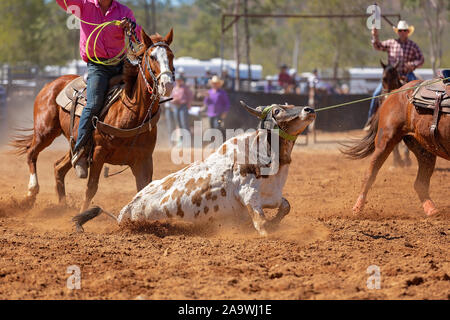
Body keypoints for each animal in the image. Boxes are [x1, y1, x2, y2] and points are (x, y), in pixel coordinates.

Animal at [10, 28, 176, 211]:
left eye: (171, 55)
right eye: (152, 57)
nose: (167, 84)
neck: (132, 113)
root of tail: (50, 85)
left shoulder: (144, 159)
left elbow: (144, 189)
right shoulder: (98, 153)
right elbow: (91, 188)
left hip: (75, 145)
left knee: (58, 167)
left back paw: (62, 206)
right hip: (45, 132)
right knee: (31, 153)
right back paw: (31, 192)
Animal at [74, 101, 314, 236]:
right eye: (278, 110)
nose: (309, 109)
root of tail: (125, 212)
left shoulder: (272, 195)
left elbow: (286, 206)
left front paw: (275, 222)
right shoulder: (249, 193)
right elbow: (261, 222)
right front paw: (268, 229)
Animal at [342, 79, 448, 216]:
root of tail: (394, 93)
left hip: (424, 149)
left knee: (420, 183)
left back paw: (432, 210)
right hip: (385, 141)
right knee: (369, 175)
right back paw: (357, 209)